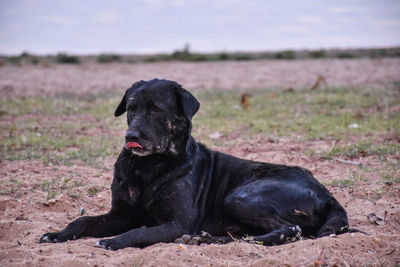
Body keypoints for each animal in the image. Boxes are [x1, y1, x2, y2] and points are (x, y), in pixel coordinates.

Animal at [39, 78, 348, 250]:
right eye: (131, 108)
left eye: (157, 110)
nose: (131, 136)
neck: (149, 168)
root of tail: (326, 193)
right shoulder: (121, 214)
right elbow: (82, 220)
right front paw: (57, 234)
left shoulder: (178, 222)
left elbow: (139, 230)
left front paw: (115, 241)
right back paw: (206, 240)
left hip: (240, 197)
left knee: (289, 229)